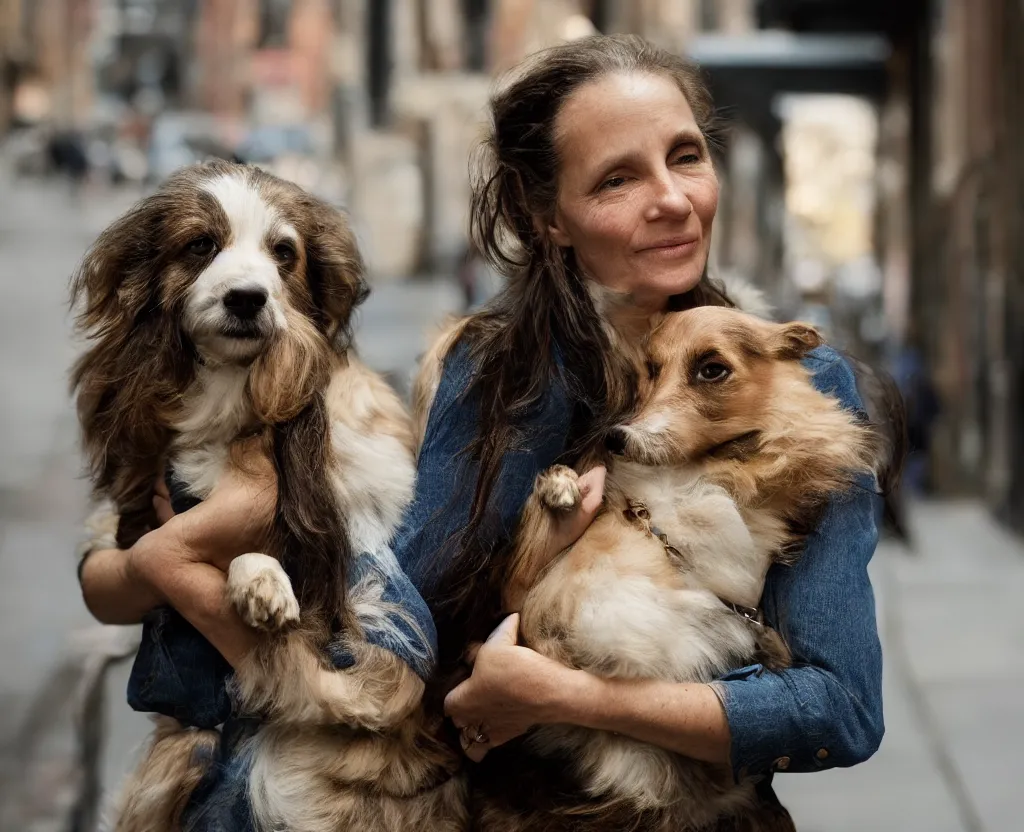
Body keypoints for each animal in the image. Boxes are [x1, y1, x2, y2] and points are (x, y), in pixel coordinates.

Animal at [74, 160, 466, 832]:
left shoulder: (371, 581)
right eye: (200, 245)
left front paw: (261, 581)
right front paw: (258, 581)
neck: (233, 406)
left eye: (284, 253)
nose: (247, 298)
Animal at [471, 307, 888, 832]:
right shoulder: (531, 591)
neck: (695, 470)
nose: (617, 437)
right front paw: (560, 487)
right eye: (650, 368)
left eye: (712, 369)